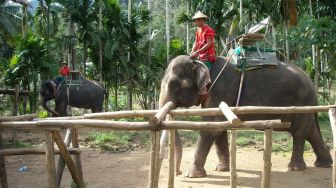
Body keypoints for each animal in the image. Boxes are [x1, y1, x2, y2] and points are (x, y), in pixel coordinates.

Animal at [159, 54, 332, 178]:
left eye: (173, 84)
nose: (178, 173)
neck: (202, 61)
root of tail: (311, 82)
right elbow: (219, 128)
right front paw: (221, 169)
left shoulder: (221, 89)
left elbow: (212, 127)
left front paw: (193, 175)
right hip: (305, 106)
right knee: (311, 131)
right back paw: (324, 164)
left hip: (302, 104)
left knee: (299, 132)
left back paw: (295, 168)